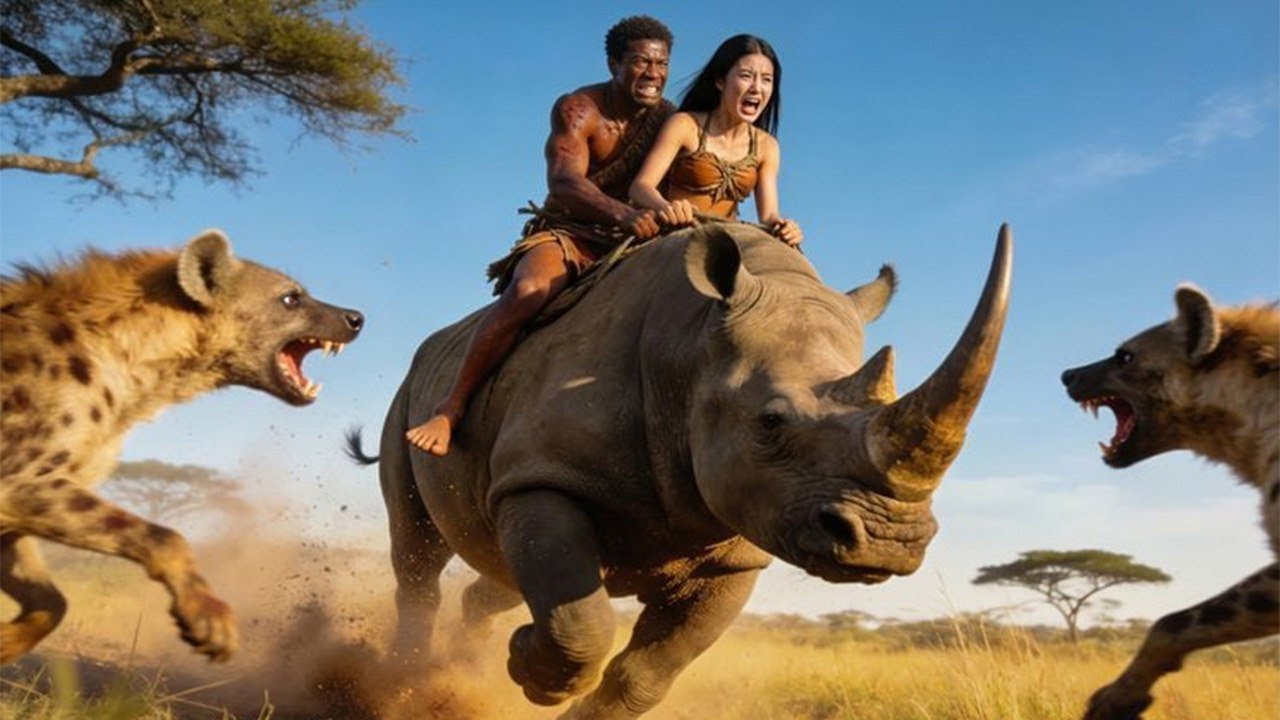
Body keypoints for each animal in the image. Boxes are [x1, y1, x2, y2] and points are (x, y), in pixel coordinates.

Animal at [348, 221, 1012, 718]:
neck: (690, 352)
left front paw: (526, 665)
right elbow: (582, 626)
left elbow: (644, 674)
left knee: (497, 572)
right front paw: (527, 670)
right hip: (411, 396)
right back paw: (405, 678)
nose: (888, 541)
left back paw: (461, 658)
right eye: (771, 422)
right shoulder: (543, 477)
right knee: (417, 552)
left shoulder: (740, 546)